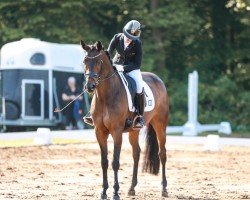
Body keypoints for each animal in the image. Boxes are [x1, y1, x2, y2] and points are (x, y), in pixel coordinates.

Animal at [81, 39, 169, 199]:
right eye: (84, 60)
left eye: (98, 61)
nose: (90, 86)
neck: (106, 95)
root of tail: (158, 79)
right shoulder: (99, 132)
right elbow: (104, 161)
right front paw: (103, 192)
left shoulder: (116, 131)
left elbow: (115, 162)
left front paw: (115, 192)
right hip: (134, 130)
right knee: (137, 153)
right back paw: (132, 188)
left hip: (160, 124)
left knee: (162, 153)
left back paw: (164, 189)